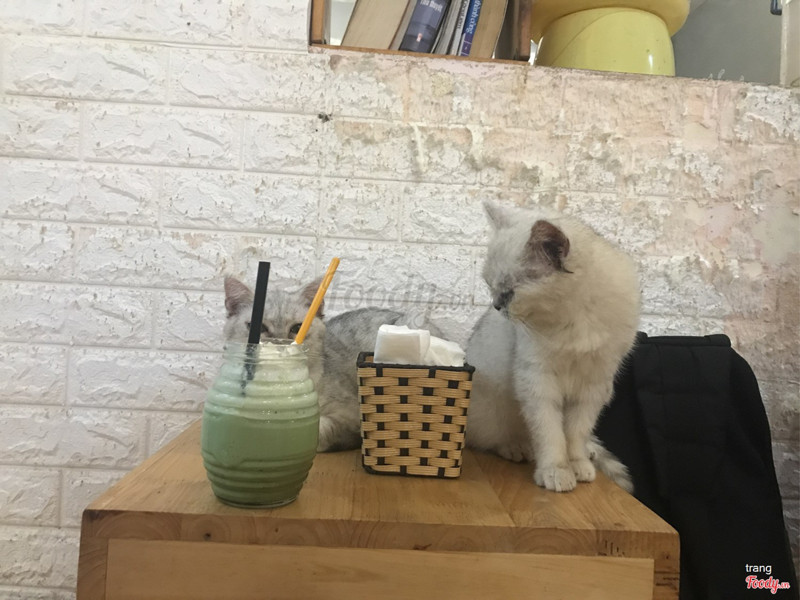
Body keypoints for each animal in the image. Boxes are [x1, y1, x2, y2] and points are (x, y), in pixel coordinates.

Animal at [465, 201, 640, 493]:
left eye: (509, 293)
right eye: (491, 287)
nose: (497, 306)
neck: (575, 317)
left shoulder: (593, 388)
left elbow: (575, 434)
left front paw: (578, 464)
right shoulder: (538, 382)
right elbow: (551, 435)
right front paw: (556, 470)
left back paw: (588, 452)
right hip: (491, 411)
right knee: (492, 438)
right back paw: (517, 447)